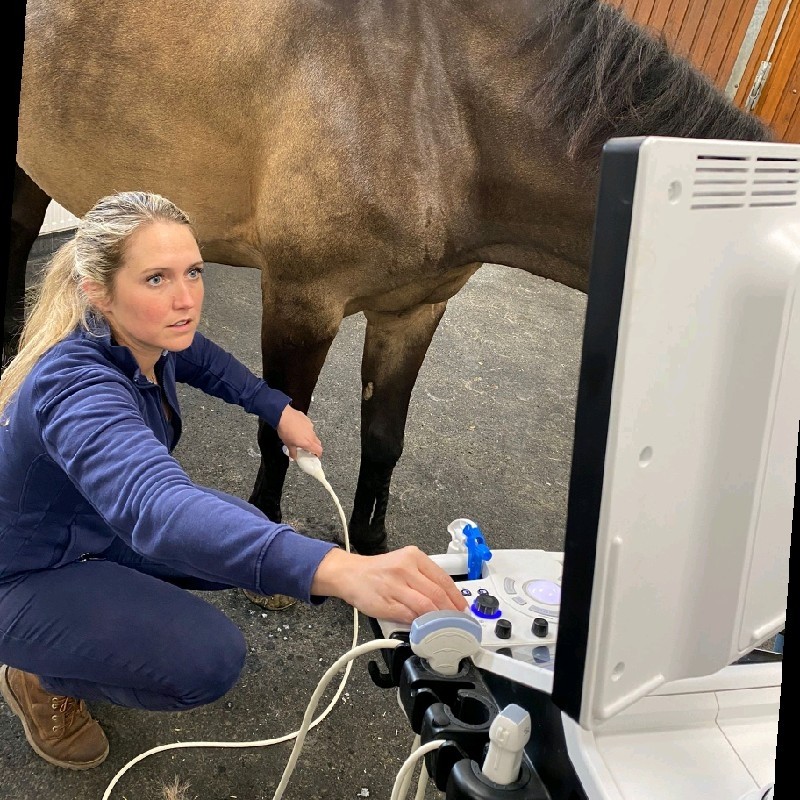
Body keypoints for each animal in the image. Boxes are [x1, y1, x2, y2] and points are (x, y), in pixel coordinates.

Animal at [9, 0, 772, 552]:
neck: (436, 101)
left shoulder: (414, 309)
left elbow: (384, 438)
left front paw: (374, 541)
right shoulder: (302, 300)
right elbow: (280, 426)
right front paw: (270, 526)